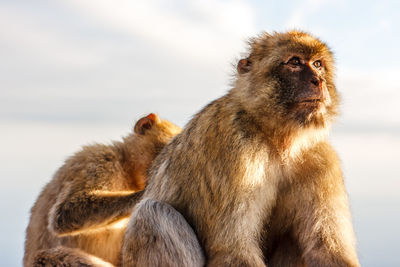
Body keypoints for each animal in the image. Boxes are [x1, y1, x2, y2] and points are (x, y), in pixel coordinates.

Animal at [121, 31, 360, 267]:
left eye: (318, 64)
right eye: (294, 62)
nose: (318, 80)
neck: (278, 139)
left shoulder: (321, 159)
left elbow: (327, 250)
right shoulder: (234, 148)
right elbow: (232, 248)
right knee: (153, 214)